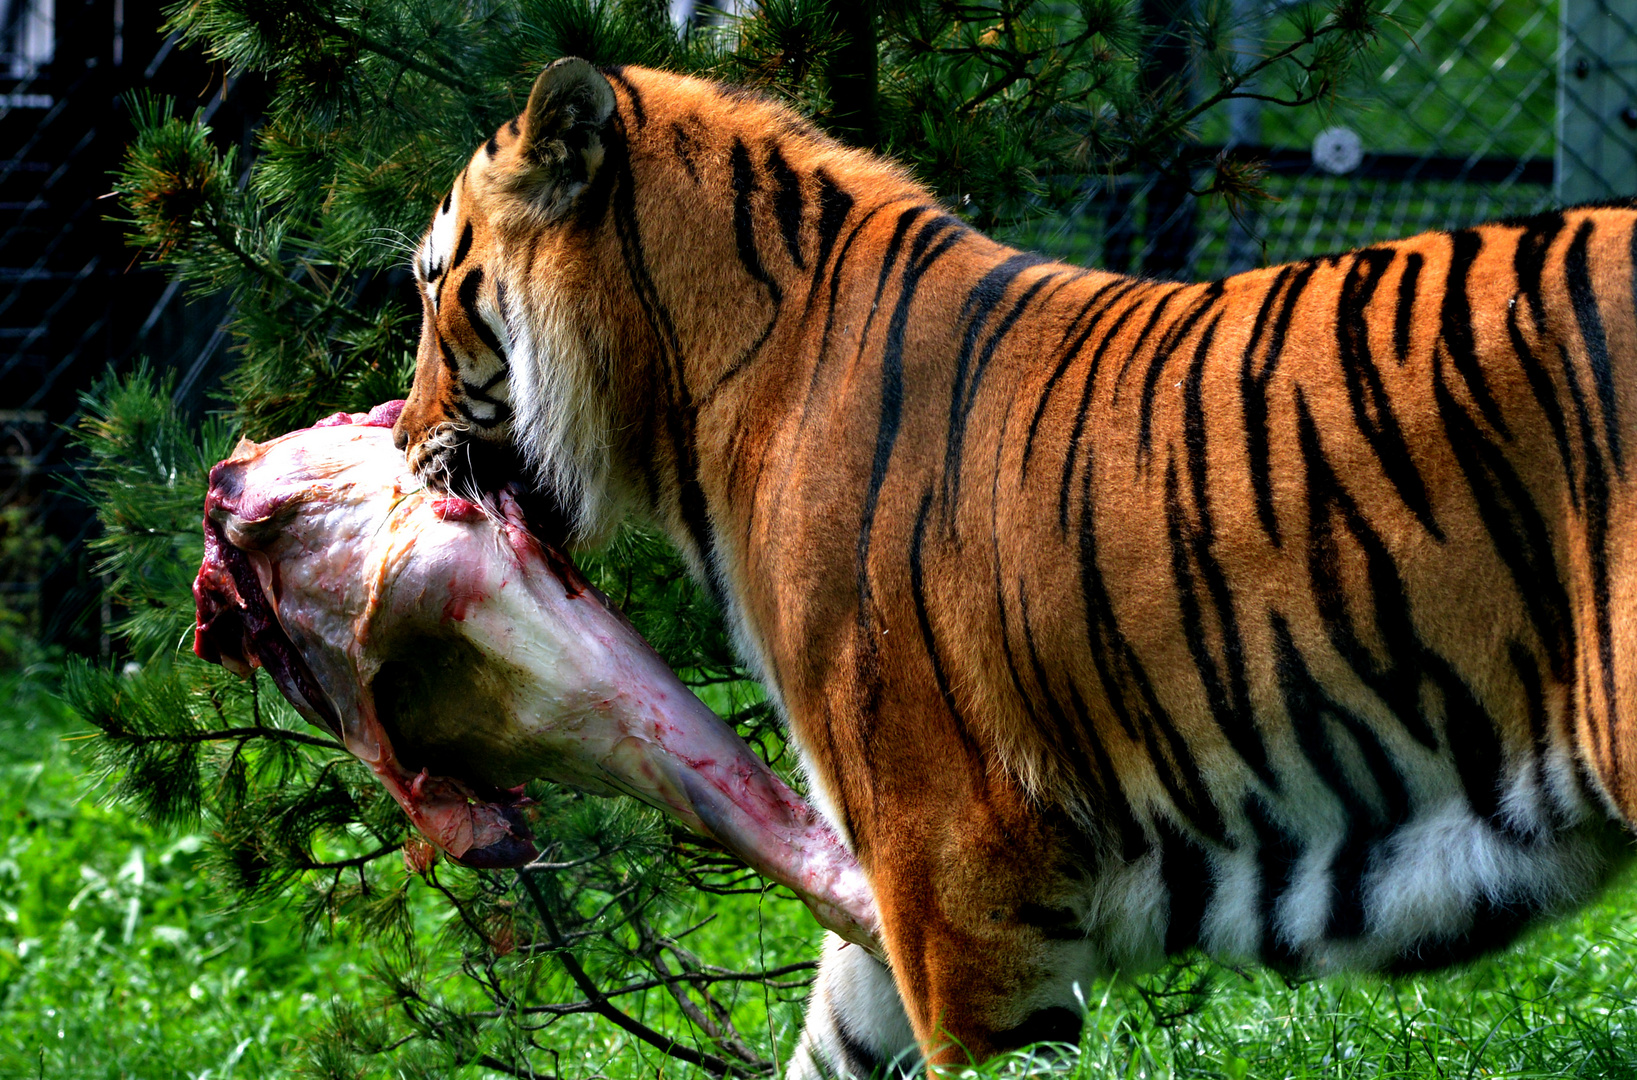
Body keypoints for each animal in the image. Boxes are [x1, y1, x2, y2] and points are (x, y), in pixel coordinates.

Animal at [392, 58, 1637, 1080]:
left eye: (432, 283)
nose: (398, 440)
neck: (698, 394)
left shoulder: (953, 863)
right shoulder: (898, 881)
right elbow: (835, 1037)